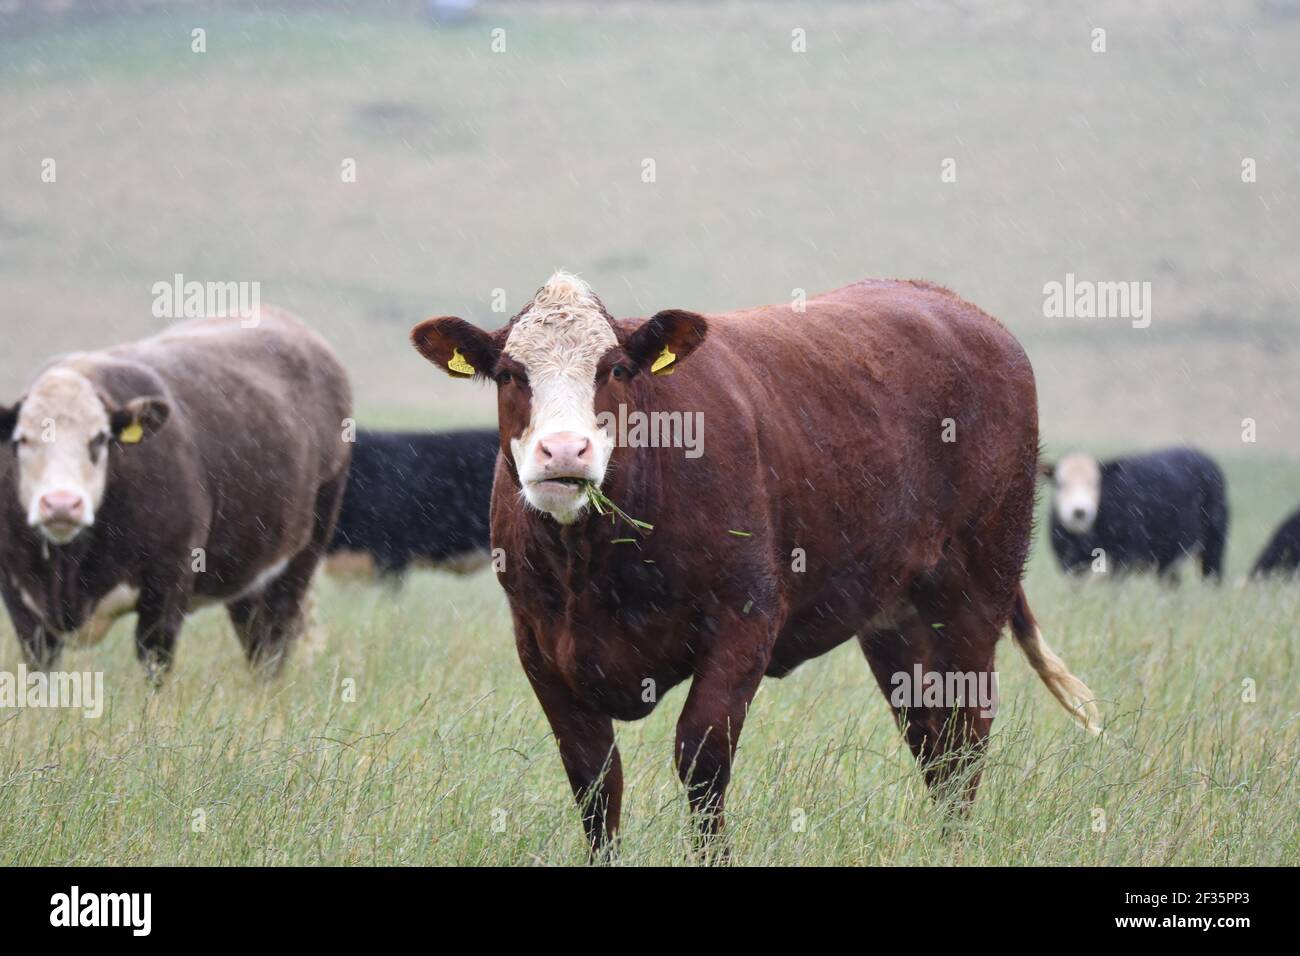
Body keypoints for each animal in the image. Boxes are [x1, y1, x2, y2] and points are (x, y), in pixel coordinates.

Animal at [0, 310, 352, 683]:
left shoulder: (169, 582)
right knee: (254, 639)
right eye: (21, 440)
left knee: (276, 640)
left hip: (303, 554)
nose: (62, 504)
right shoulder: (20, 600)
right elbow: (40, 669)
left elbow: (155, 662)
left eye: (100, 439)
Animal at [412, 272, 1100, 857]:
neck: (593, 565)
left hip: (973, 596)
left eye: (615, 368)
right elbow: (594, 780)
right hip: (895, 623)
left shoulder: (745, 619)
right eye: (509, 373)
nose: (563, 451)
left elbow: (702, 758)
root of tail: (959, 309)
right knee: (931, 741)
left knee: (964, 738)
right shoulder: (539, 644)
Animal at [1040, 448, 1227, 582]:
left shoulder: (1123, 558)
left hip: (1214, 543)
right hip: (1168, 557)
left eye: (1095, 483)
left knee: (1212, 578)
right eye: (1060, 484)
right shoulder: (1068, 564)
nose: (1079, 511)